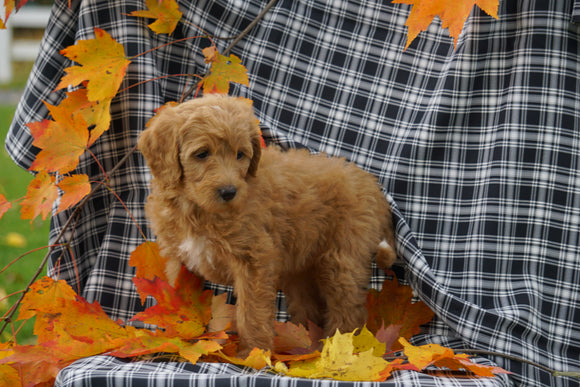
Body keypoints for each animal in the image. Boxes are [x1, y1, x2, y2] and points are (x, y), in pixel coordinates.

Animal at [138, 94, 396, 354]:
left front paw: (253, 353)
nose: (229, 192)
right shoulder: (177, 257)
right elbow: (176, 297)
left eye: (240, 155)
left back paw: (335, 349)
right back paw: (303, 343)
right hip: (301, 267)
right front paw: (174, 338)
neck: (196, 209)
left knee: (348, 309)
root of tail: (374, 187)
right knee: (309, 305)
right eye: (202, 154)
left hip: (342, 259)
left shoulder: (254, 260)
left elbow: (250, 312)